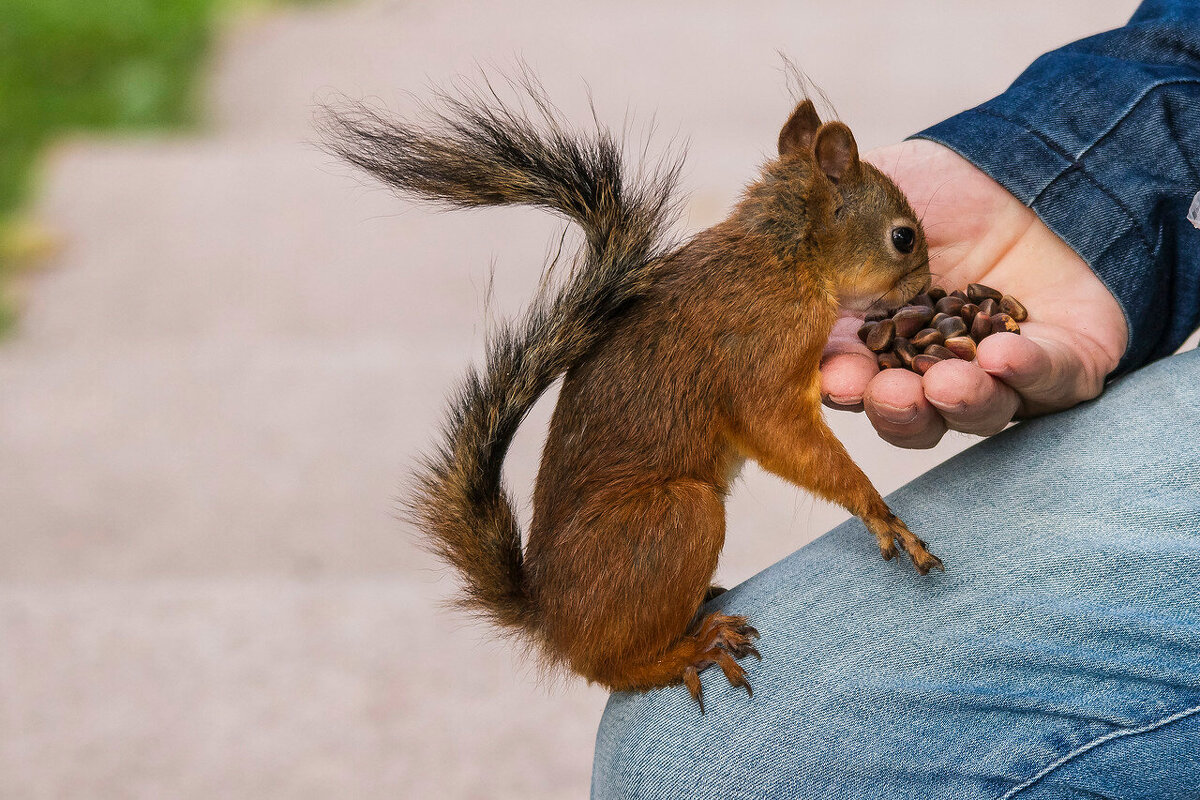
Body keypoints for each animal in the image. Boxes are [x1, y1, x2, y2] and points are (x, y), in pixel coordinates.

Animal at [324, 84, 940, 710]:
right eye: (903, 237)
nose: (927, 284)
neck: (785, 255)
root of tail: (550, 623)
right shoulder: (761, 351)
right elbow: (777, 428)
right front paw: (880, 513)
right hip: (678, 518)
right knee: (615, 669)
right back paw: (690, 649)